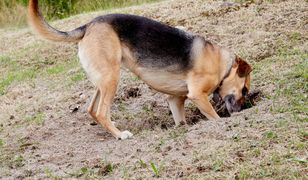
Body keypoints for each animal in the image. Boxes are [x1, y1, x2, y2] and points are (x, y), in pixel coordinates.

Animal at [27, 0, 251, 140]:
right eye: (245, 90)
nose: (243, 110)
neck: (223, 66)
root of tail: (89, 25)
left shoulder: (175, 100)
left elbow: (180, 120)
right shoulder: (198, 95)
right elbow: (215, 117)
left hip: (103, 79)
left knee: (92, 109)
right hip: (111, 78)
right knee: (101, 112)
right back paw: (119, 135)